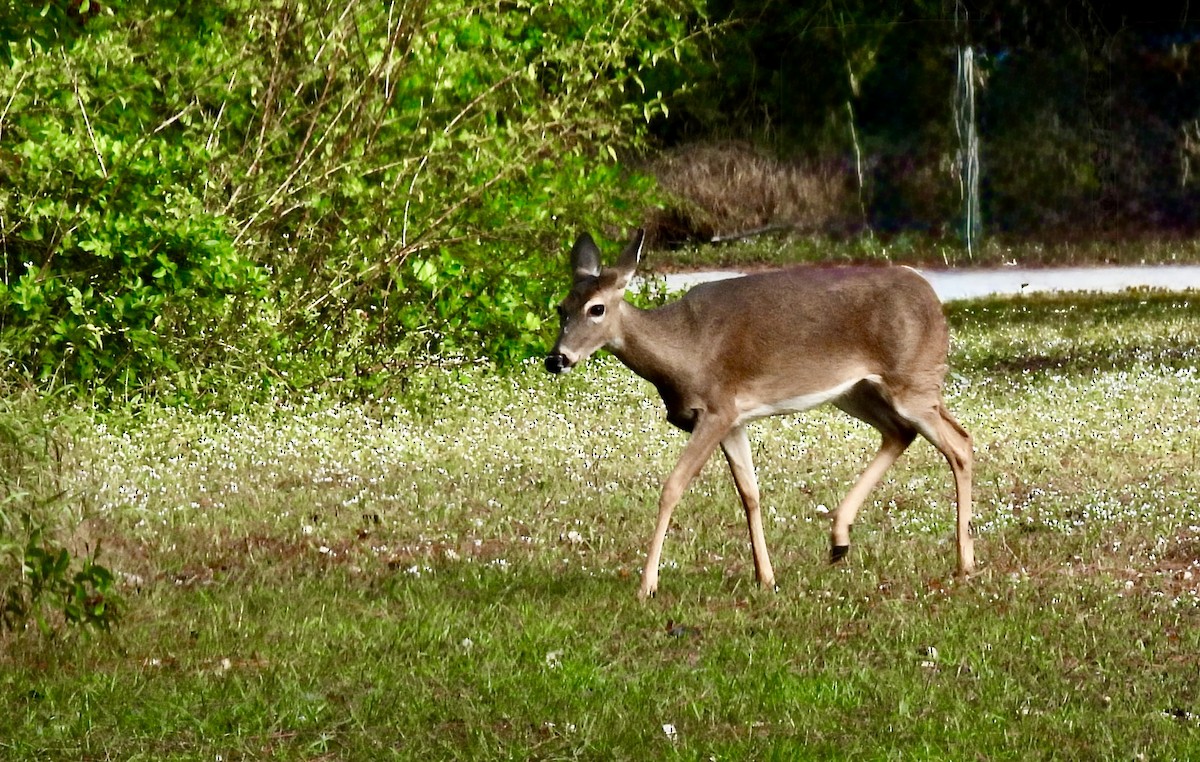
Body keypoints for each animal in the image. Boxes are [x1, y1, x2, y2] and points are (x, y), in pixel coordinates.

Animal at [545, 229, 974, 599]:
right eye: (561, 308)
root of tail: (932, 298)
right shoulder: (734, 420)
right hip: (858, 391)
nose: (556, 359)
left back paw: (964, 564)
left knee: (960, 444)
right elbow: (750, 493)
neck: (683, 349)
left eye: (597, 308)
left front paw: (646, 586)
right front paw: (766, 577)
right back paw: (839, 541)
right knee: (902, 433)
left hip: (912, 380)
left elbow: (672, 488)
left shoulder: (717, 409)